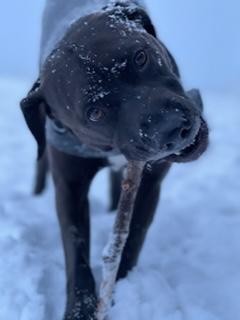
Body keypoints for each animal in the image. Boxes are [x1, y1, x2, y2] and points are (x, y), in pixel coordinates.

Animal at [20, 0, 208, 320]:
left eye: (140, 57)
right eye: (95, 113)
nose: (171, 128)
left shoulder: (149, 183)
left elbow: (132, 238)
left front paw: (121, 292)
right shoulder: (69, 186)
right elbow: (76, 250)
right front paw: (79, 310)